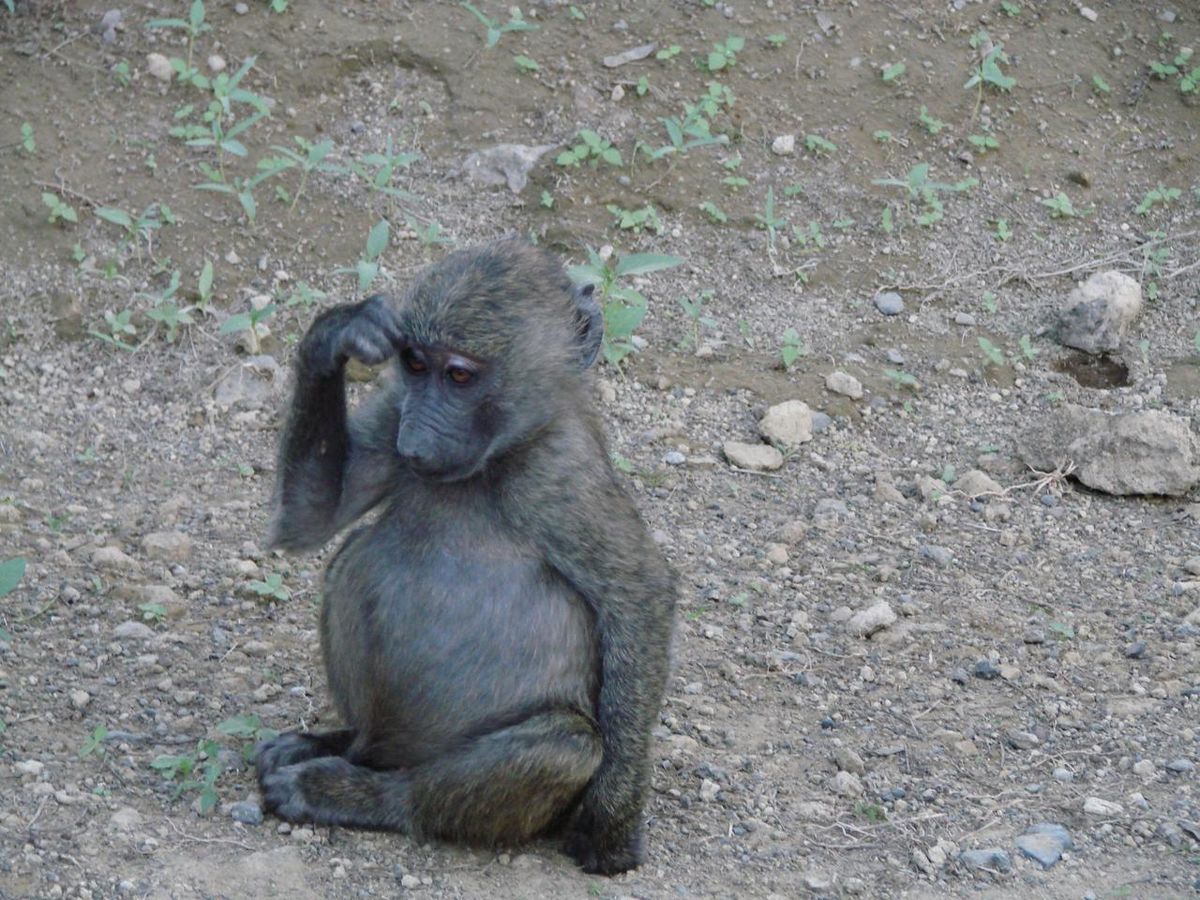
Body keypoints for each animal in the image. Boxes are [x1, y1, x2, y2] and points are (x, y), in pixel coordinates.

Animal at [255, 238, 676, 875]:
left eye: (459, 375)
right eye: (415, 365)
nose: (414, 445)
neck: (495, 460)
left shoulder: (562, 471)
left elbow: (639, 594)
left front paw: (612, 827)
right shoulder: (393, 407)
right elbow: (309, 520)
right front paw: (336, 334)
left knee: (564, 746)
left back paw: (349, 790)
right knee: (350, 559)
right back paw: (334, 744)